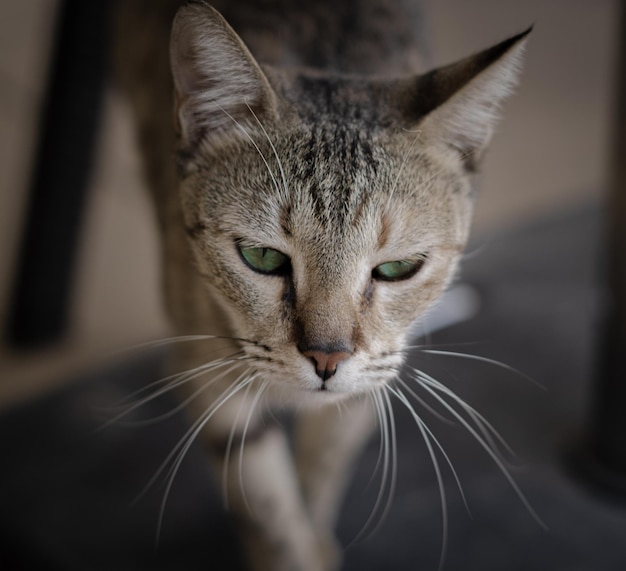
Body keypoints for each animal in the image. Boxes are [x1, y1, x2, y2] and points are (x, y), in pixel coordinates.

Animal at [113, 2, 528, 568]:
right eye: (262, 257)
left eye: (398, 268)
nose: (327, 358)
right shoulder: (216, 383)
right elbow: (270, 506)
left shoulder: (366, 386)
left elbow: (320, 473)